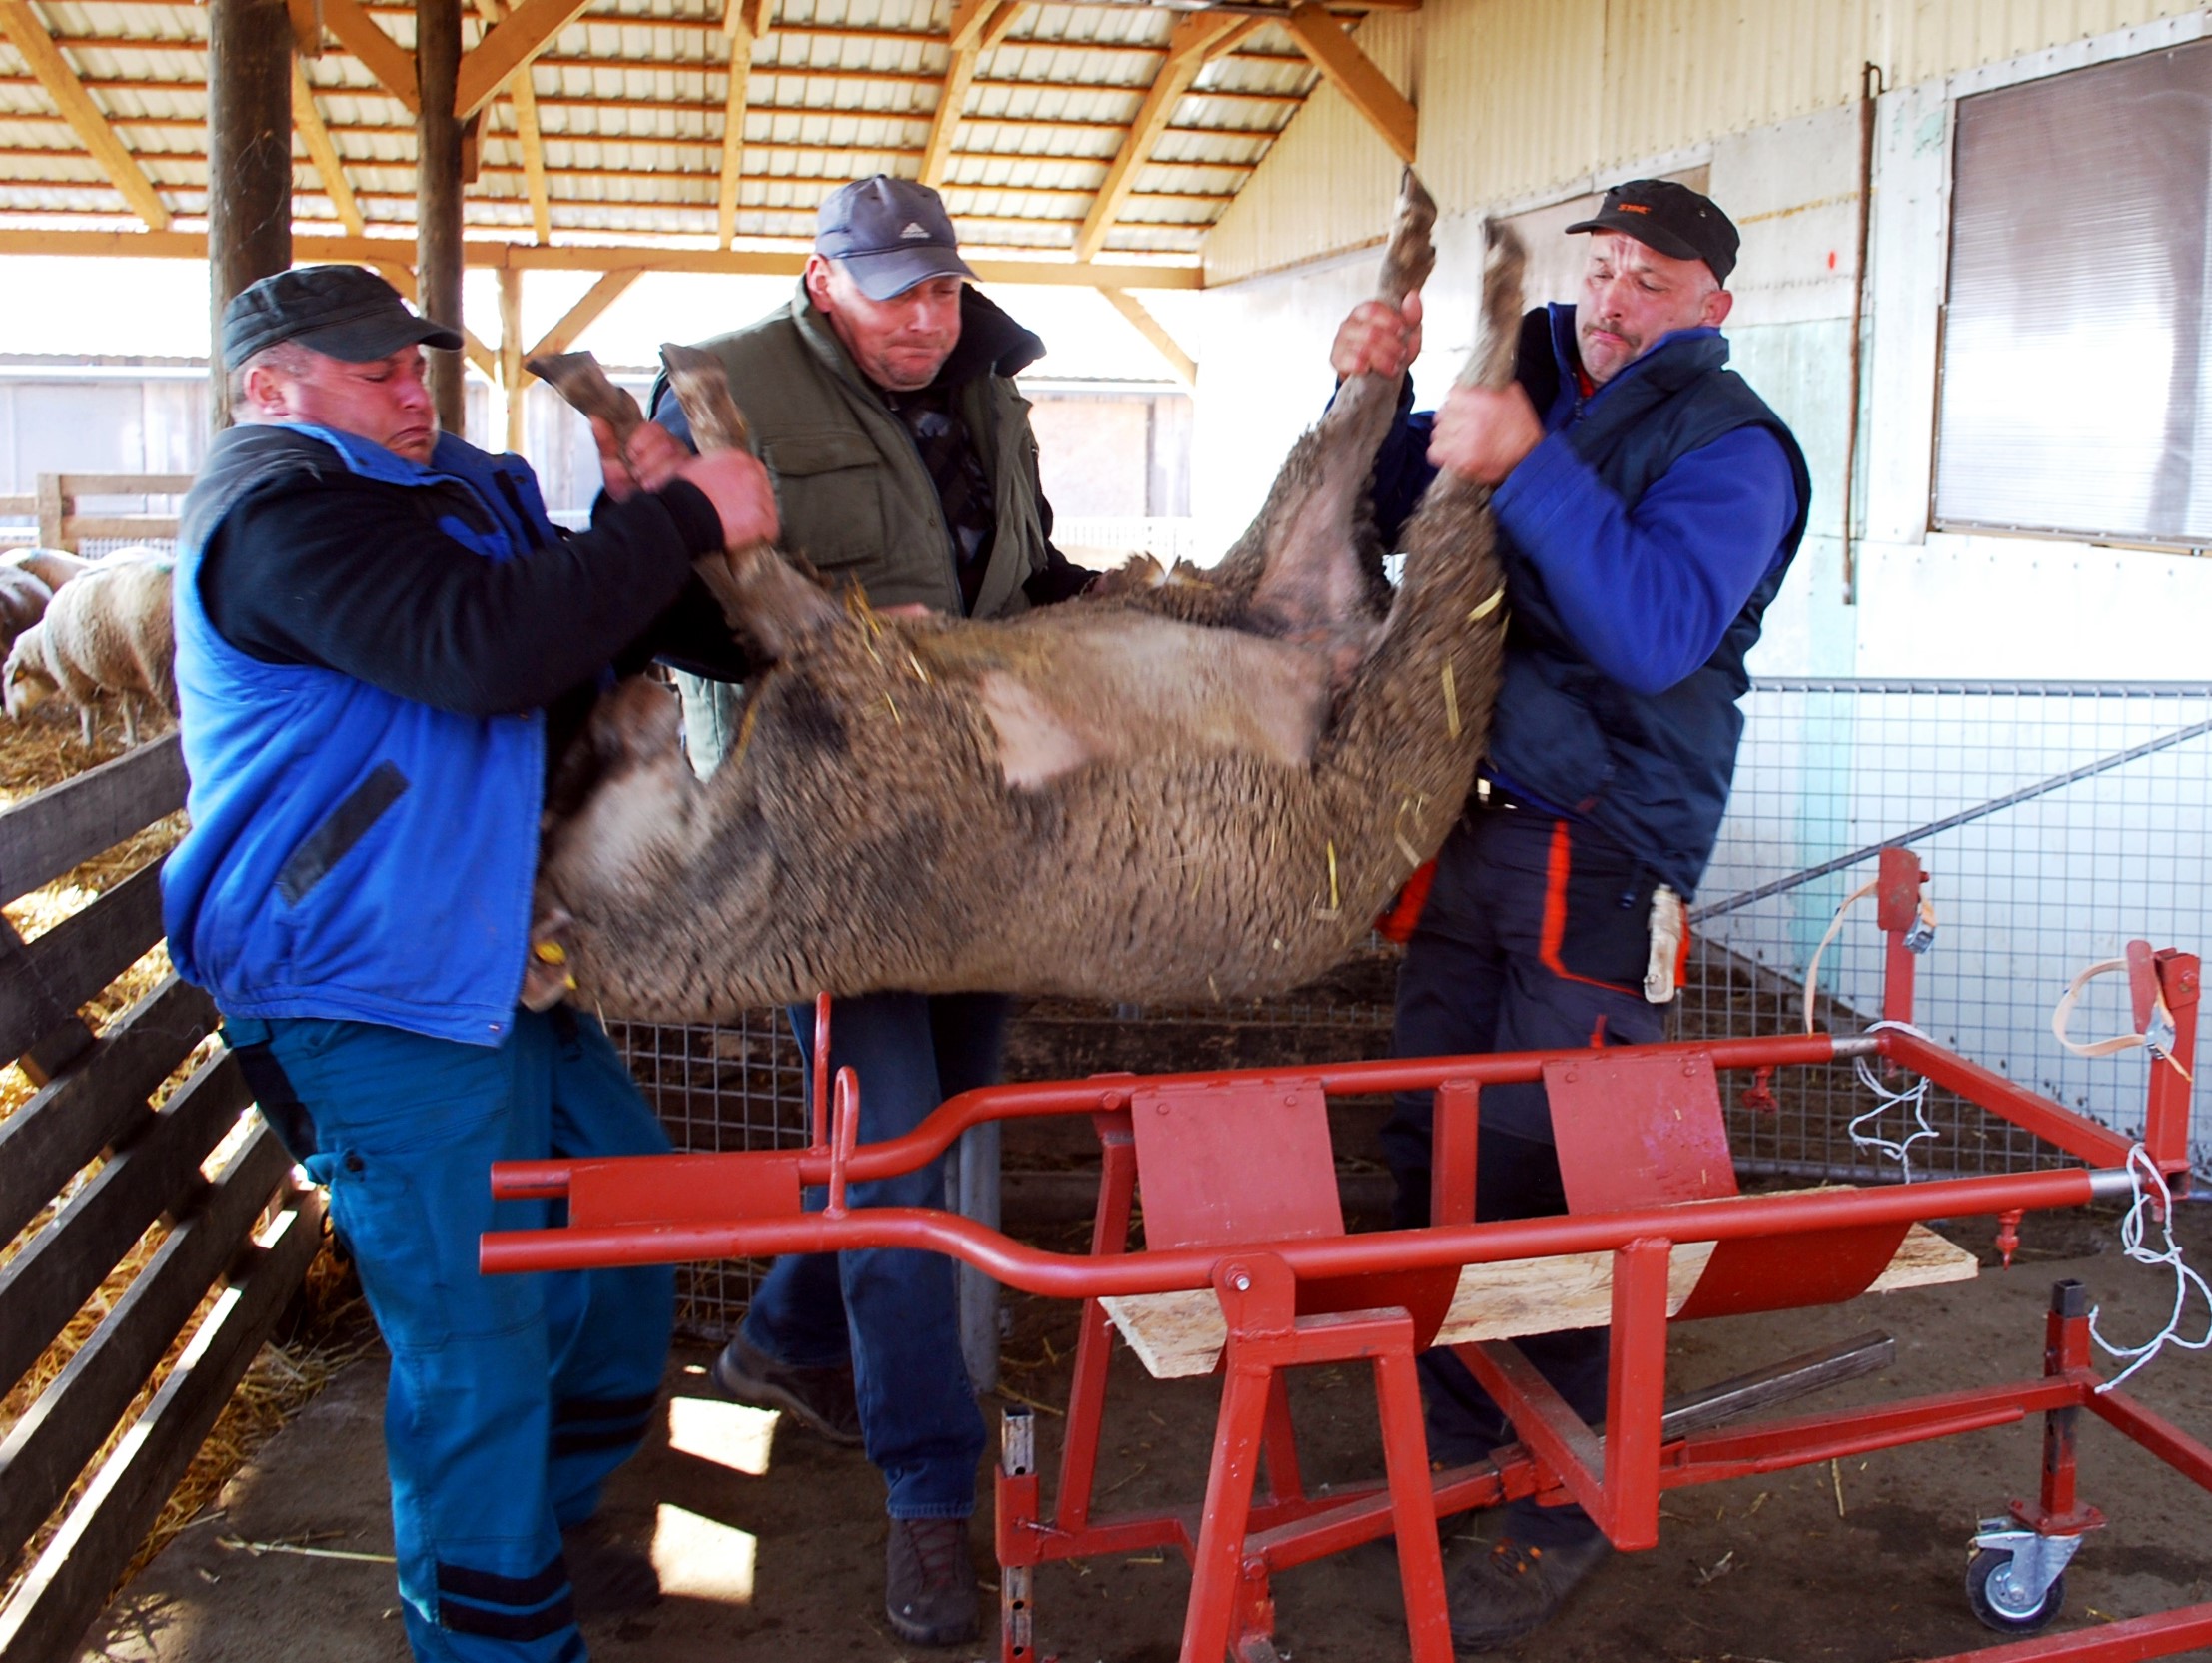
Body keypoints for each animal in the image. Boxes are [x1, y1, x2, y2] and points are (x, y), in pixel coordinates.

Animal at [4, 554, 174, 742]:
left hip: (162, 662)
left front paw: (87, 742)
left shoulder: (74, 679)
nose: (12, 717)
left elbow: (87, 714)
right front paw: (131, 740)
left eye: (10, 684)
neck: (41, 647)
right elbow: (129, 711)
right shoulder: (124, 672)